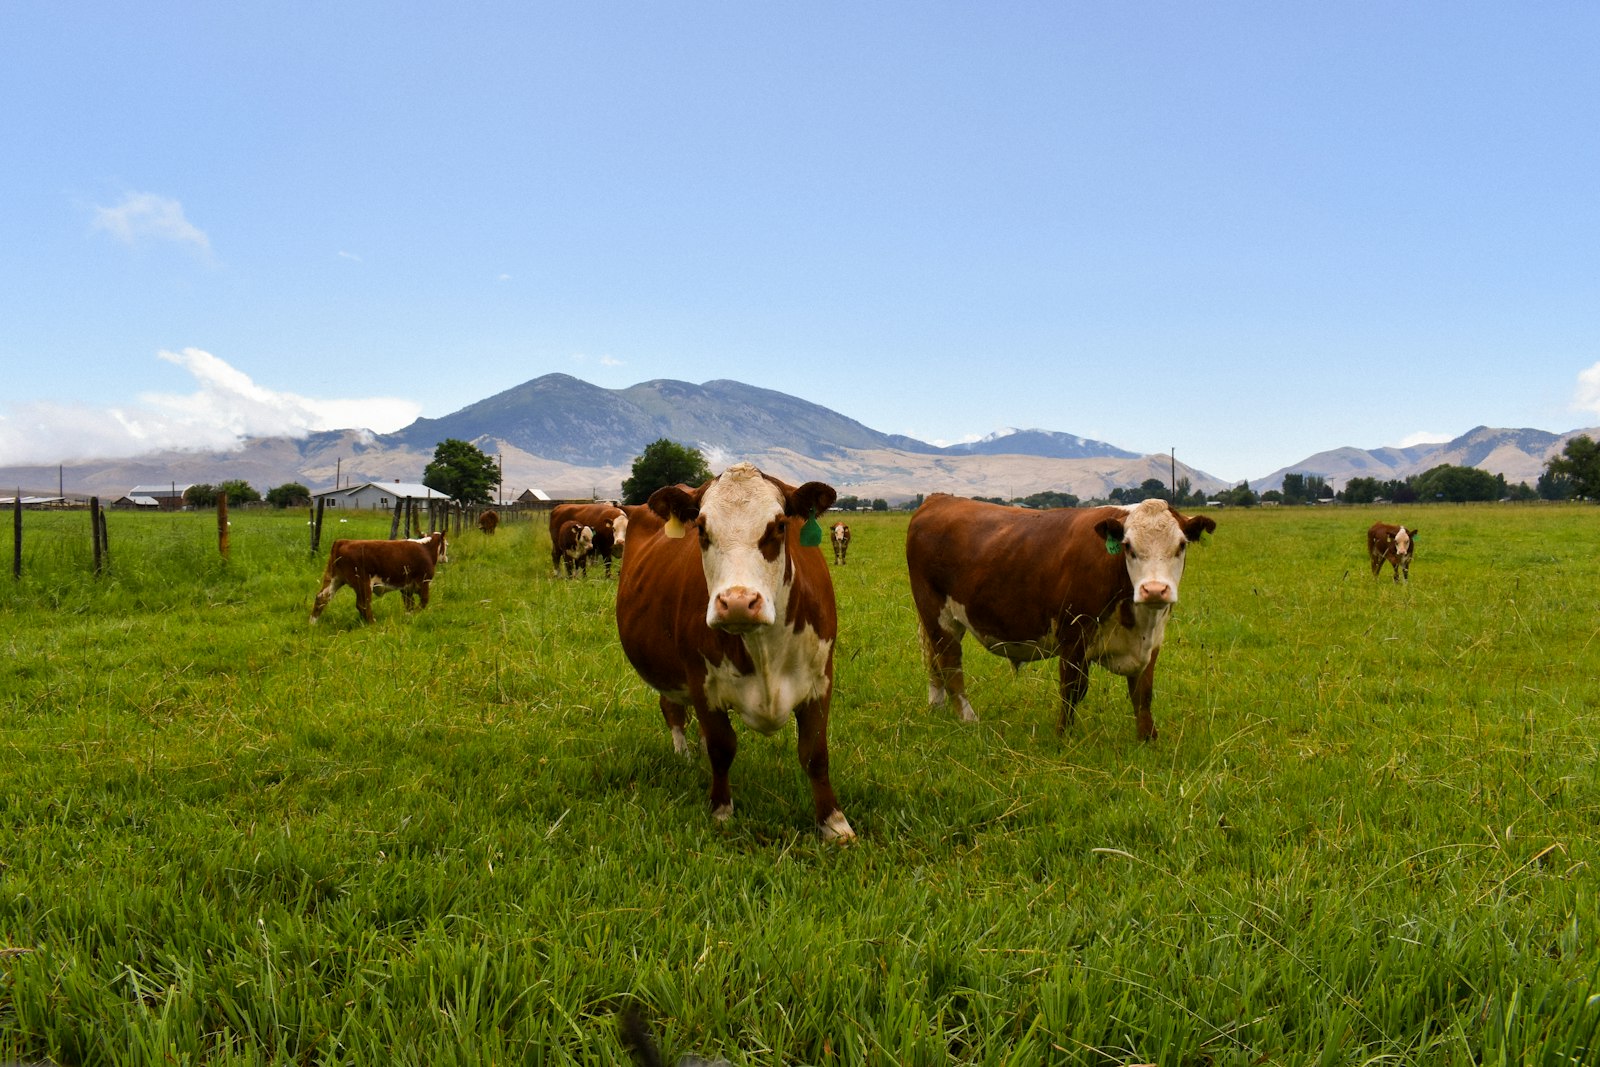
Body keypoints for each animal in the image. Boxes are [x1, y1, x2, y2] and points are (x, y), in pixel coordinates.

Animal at [310, 530, 448, 624]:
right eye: (446, 544)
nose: (446, 558)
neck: (426, 549)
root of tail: (343, 541)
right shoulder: (424, 581)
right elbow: (424, 601)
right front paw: (415, 615)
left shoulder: (406, 587)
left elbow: (409, 604)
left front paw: (408, 617)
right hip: (363, 583)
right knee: (363, 604)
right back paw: (372, 623)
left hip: (335, 579)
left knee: (322, 597)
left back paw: (312, 623)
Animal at [615, 462, 852, 841]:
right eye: (701, 529)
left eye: (779, 525)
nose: (738, 602)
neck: (764, 649)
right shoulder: (701, 680)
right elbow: (722, 747)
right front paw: (721, 811)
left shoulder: (820, 680)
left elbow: (815, 753)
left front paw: (833, 822)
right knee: (672, 710)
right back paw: (684, 755)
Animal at [905, 495, 1215, 741]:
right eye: (1128, 546)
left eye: (1181, 545)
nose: (1154, 590)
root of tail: (939, 499)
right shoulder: (1073, 634)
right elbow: (1072, 689)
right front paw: (1062, 736)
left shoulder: (1151, 643)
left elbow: (1143, 693)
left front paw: (1148, 739)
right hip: (938, 614)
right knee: (949, 663)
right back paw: (968, 719)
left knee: (935, 660)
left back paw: (937, 708)